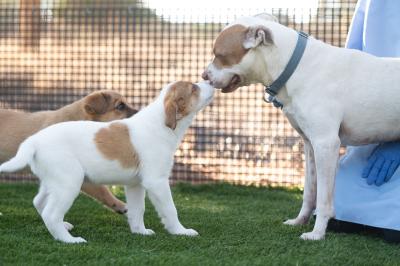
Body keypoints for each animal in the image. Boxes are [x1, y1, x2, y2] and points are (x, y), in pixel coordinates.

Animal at [202, 13, 400, 240]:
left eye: (220, 55)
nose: (204, 76)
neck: (295, 66)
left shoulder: (326, 145)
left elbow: (323, 199)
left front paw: (317, 233)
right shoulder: (310, 145)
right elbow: (309, 192)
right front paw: (300, 221)